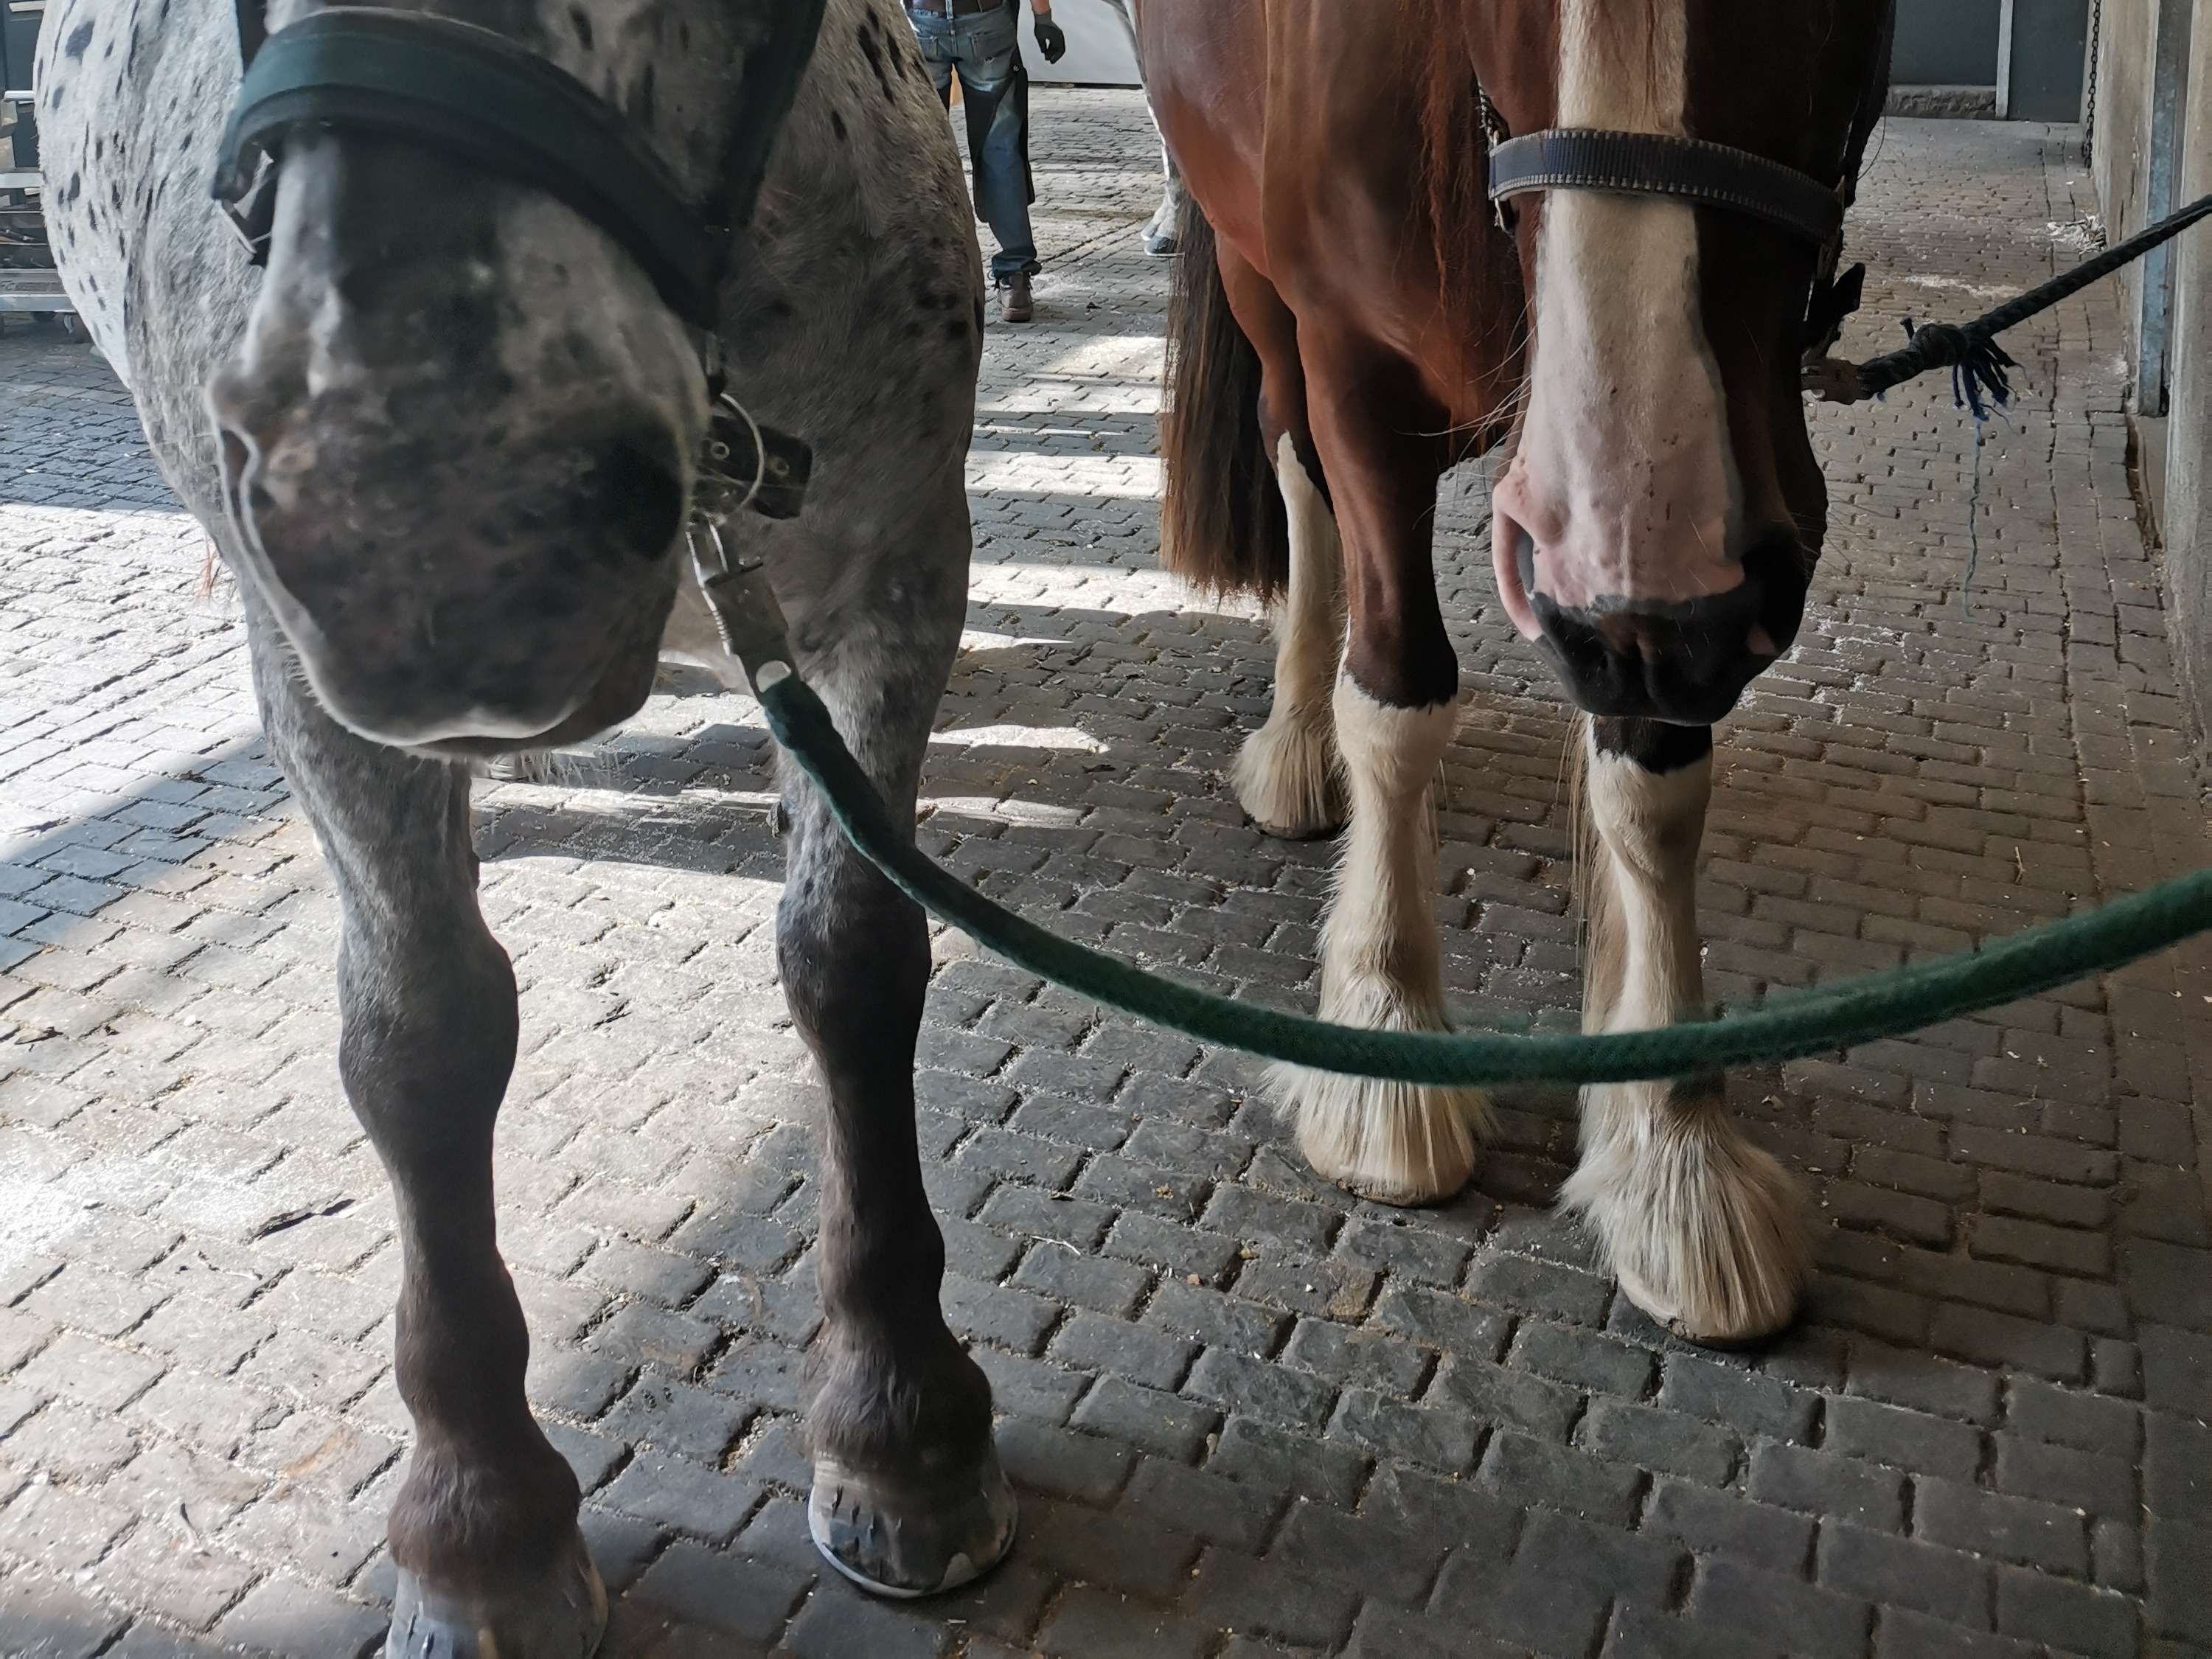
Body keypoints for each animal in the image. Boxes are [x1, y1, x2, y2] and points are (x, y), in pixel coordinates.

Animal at [37, 0, 1018, 1646]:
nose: (443, 530)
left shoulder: (896, 570)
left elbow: (854, 957)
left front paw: (901, 1424)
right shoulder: (310, 683)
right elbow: (422, 1039)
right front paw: (478, 1519)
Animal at [1141, 0, 1895, 1346]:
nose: (1635, 556)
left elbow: (1654, 786)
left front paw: (1673, 1155)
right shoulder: (1355, 368)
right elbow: (1394, 698)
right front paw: (1384, 1036)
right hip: (1255, 281)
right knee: (1295, 471)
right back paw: (1295, 743)